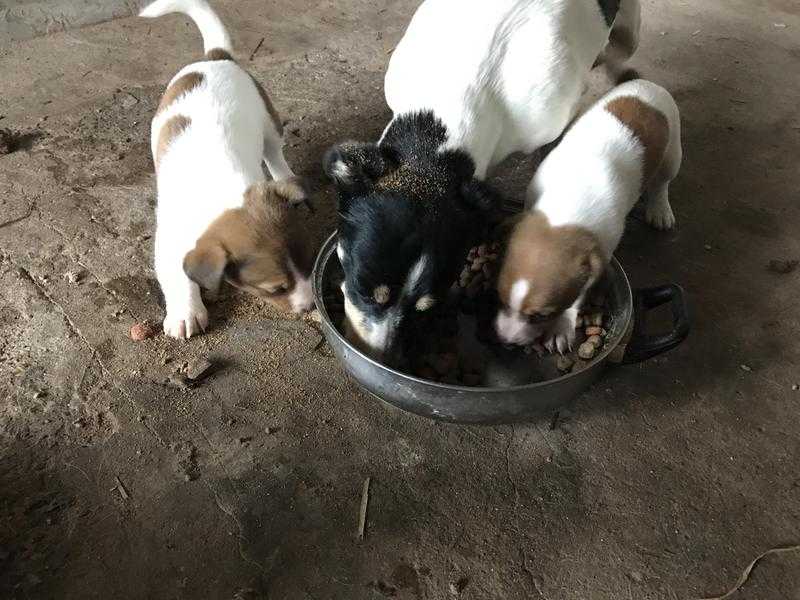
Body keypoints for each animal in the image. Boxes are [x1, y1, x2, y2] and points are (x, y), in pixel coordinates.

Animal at [142, 0, 310, 338]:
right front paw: (185, 312)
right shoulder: (168, 240)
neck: (220, 194)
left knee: (274, 153)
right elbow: (177, 274)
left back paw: (286, 178)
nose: (311, 306)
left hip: (268, 122)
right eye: (276, 289)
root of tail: (215, 57)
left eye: (309, 264)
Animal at [494, 79, 680, 352]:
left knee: (662, 183)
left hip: (673, 153)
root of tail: (646, 82)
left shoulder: (602, 253)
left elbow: (578, 296)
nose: (505, 342)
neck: (566, 205)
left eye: (541, 316)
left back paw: (660, 209)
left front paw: (561, 326)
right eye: (500, 297)